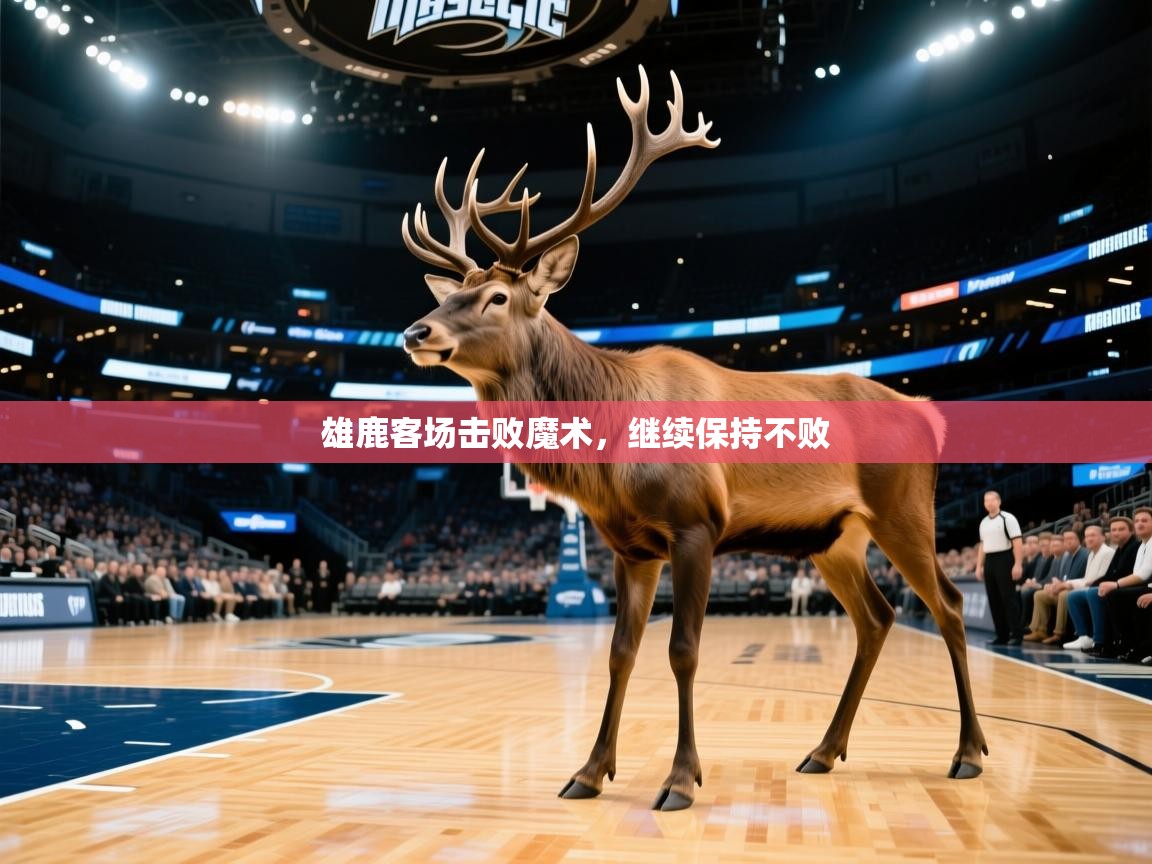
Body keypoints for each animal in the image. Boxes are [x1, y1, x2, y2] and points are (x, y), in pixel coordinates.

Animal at [400, 67, 988, 811]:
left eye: (497, 298)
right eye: (450, 292)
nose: (416, 331)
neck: (610, 449)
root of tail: (927, 413)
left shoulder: (696, 523)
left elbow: (682, 649)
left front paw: (680, 779)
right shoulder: (629, 545)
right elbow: (619, 652)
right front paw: (588, 772)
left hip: (905, 509)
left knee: (948, 603)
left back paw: (967, 753)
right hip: (835, 537)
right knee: (877, 617)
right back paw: (823, 751)